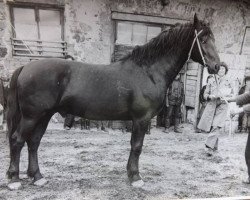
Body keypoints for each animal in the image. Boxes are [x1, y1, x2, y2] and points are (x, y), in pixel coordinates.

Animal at [6, 14, 220, 189]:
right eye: (203, 39)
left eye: (213, 38)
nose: (217, 66)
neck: (148, 71)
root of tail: (25, 67)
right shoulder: (141, 119)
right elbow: (137, 146)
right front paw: (135, 177)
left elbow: (134, 145)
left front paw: (130, 174)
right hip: (32, 116)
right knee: (17, 140)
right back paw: (14, 179)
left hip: (44, 115)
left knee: (33, 142)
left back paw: (37, 177)